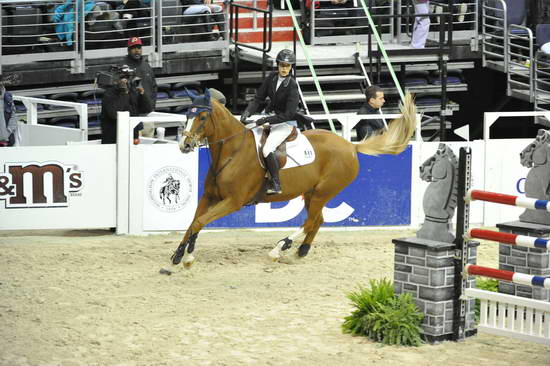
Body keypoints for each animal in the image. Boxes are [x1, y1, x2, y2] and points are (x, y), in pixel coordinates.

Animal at [172, 88, 418, 266]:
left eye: (202, 116)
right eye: (187, 115)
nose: (184, 145)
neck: (232, 151)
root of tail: (351, 146)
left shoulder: (233, 202)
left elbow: (200, 222)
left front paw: (188, 257)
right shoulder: (210, 196)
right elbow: (193, 222)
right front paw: (179, 253)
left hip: (322, 192)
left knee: (310, 222)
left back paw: (279, 248)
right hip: (311, 193)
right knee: (318, 221)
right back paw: (300, 251)